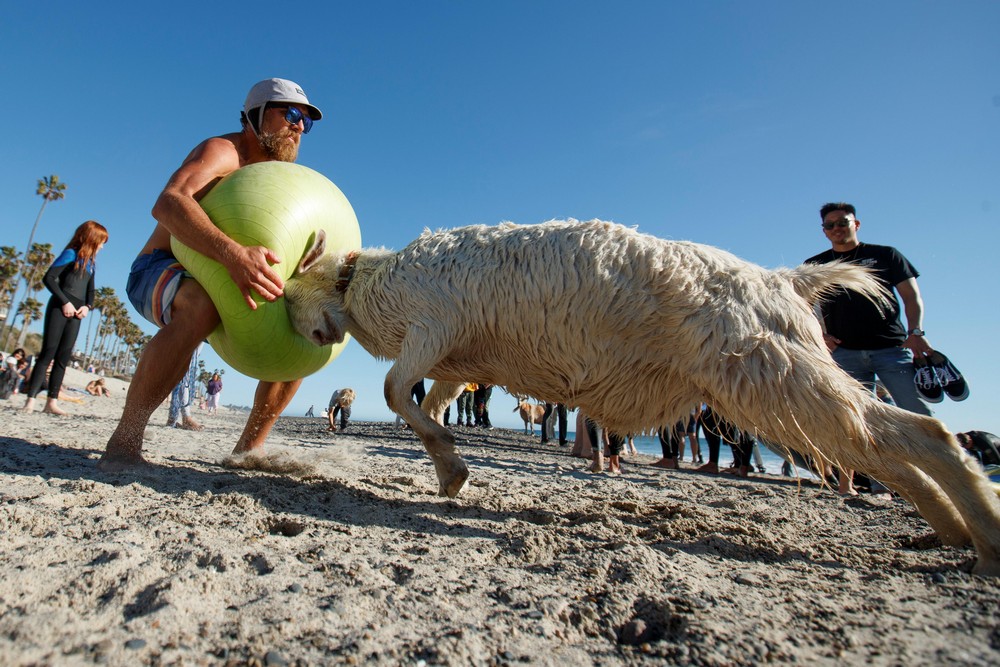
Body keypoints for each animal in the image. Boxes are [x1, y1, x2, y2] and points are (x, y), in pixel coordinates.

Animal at [282, 220, 1000, 580]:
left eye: (289, 295)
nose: (303, 335)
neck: (370, 281)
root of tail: (782, 279)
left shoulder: (433, 325)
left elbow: (392, 391)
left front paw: (451, 467)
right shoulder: (455, 362)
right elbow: (426, 403)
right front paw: (451, 469)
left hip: (771, 372)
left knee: (920, 435)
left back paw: (984, 540)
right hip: (775, 380)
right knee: (879, 447)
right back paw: (948, 528)